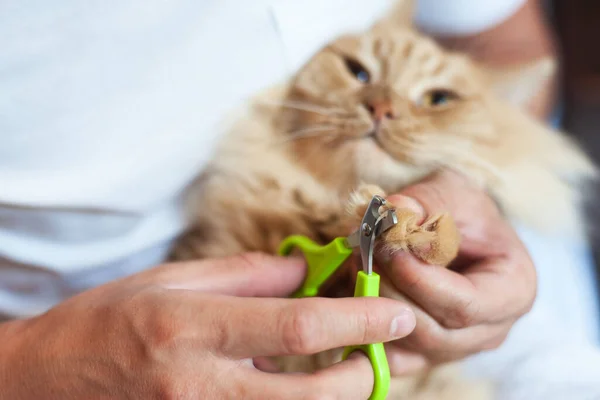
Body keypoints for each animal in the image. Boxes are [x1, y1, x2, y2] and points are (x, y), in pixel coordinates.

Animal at [169, 1, 596, 398]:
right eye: (358, 72)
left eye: (439, 99)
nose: (381, 108)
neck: (325, 210)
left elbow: (445, 241)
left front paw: (421, 232)